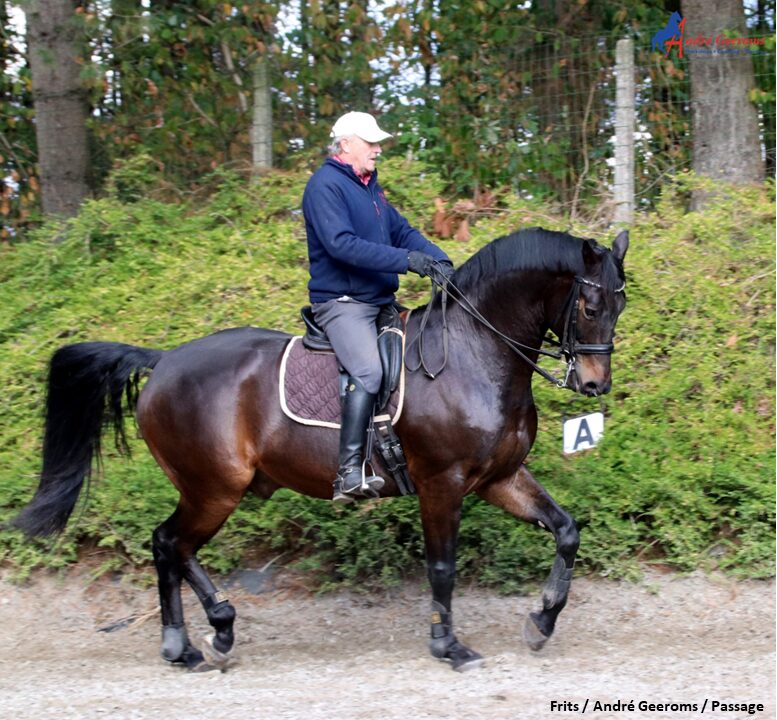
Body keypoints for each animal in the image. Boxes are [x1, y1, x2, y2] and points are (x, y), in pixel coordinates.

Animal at [15, 226, 628, 676]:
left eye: (620, 305)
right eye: (590, 304)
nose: (594, 385)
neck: (474, 354)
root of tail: (164, 361)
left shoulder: (500, 477)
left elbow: (566, 532)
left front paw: (541, 622)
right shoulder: (442, 483)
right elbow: (442, 566)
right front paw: (449, 646)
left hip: (214, 489)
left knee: (173, 548)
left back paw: (197, 640)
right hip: (214, 488)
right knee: (170, 543)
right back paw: (200, 637)